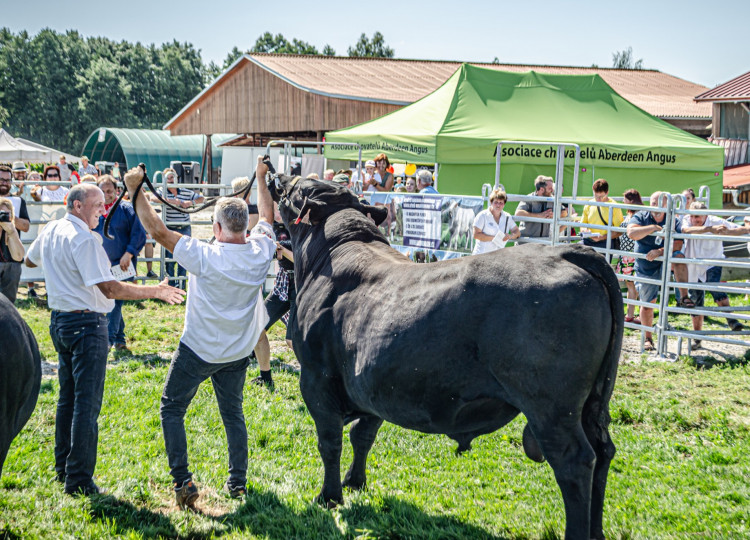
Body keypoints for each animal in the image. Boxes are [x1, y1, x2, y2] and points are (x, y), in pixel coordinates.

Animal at [274, 177, 624, 540]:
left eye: (297, 187)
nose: (279, 177)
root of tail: (567, 252)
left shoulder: (316, 378)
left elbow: (330, 442)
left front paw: (328, 496)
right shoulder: (371, 384)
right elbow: (362, 436)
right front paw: (355, 482)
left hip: (551, 407)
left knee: (574, 460)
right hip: (593, 402)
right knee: (603, 451)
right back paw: (597, 529)